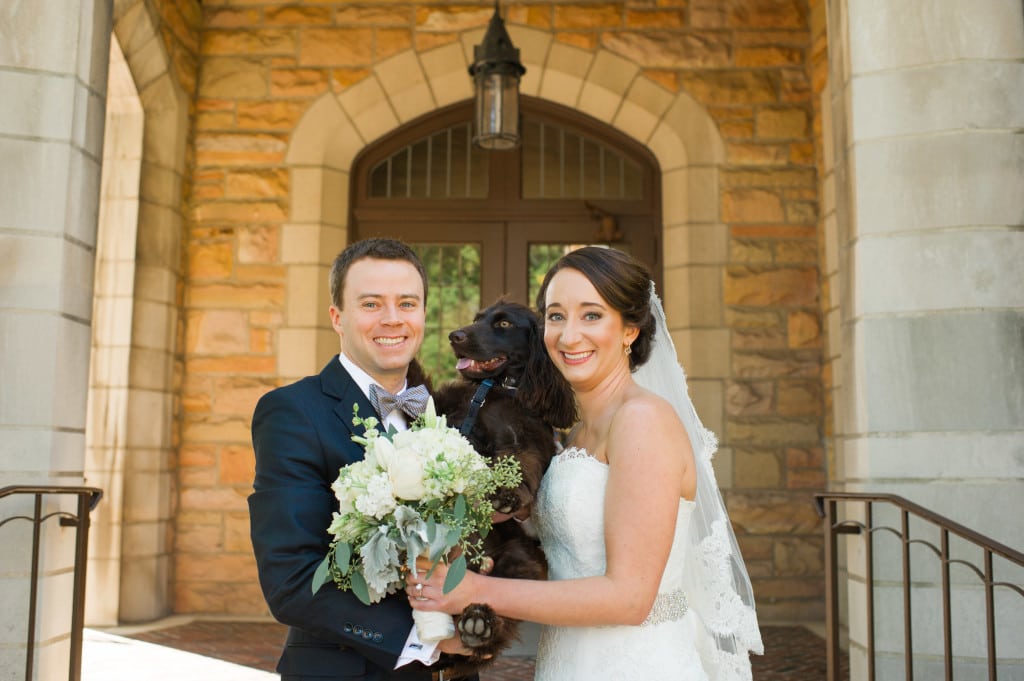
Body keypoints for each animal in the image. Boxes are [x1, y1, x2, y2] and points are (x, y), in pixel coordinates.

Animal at [432, 301, 577, 675]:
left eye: (504, 324)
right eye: (477, 318)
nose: (455, 336)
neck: (499, 390)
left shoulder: (529, 439)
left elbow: (520, 463)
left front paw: (507, 496)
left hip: (521, 563)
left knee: (499, 621)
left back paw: (479, 625)